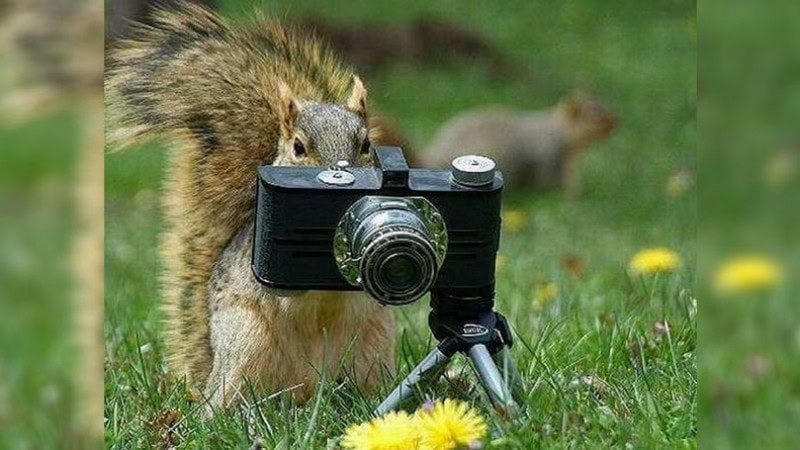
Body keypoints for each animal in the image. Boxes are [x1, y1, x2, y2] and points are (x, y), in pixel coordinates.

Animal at [422, 91, 617, 196]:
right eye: (595, 117)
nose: (617, 123)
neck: (557, 130)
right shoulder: (552, 158)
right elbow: (553, 183)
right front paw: (577, 195)